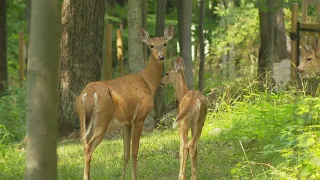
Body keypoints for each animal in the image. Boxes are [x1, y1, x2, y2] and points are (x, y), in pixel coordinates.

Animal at [75, 25, 175, 180]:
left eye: (164, 43)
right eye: (151, 45)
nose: (161, 56)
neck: (148, 82)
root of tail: (89, 94)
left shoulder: (126, 122)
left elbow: (126, 153)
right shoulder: (139, 117)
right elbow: (134, 151)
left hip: (82, 120)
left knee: (84, 145)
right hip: (102, 119)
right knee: (88, 148)